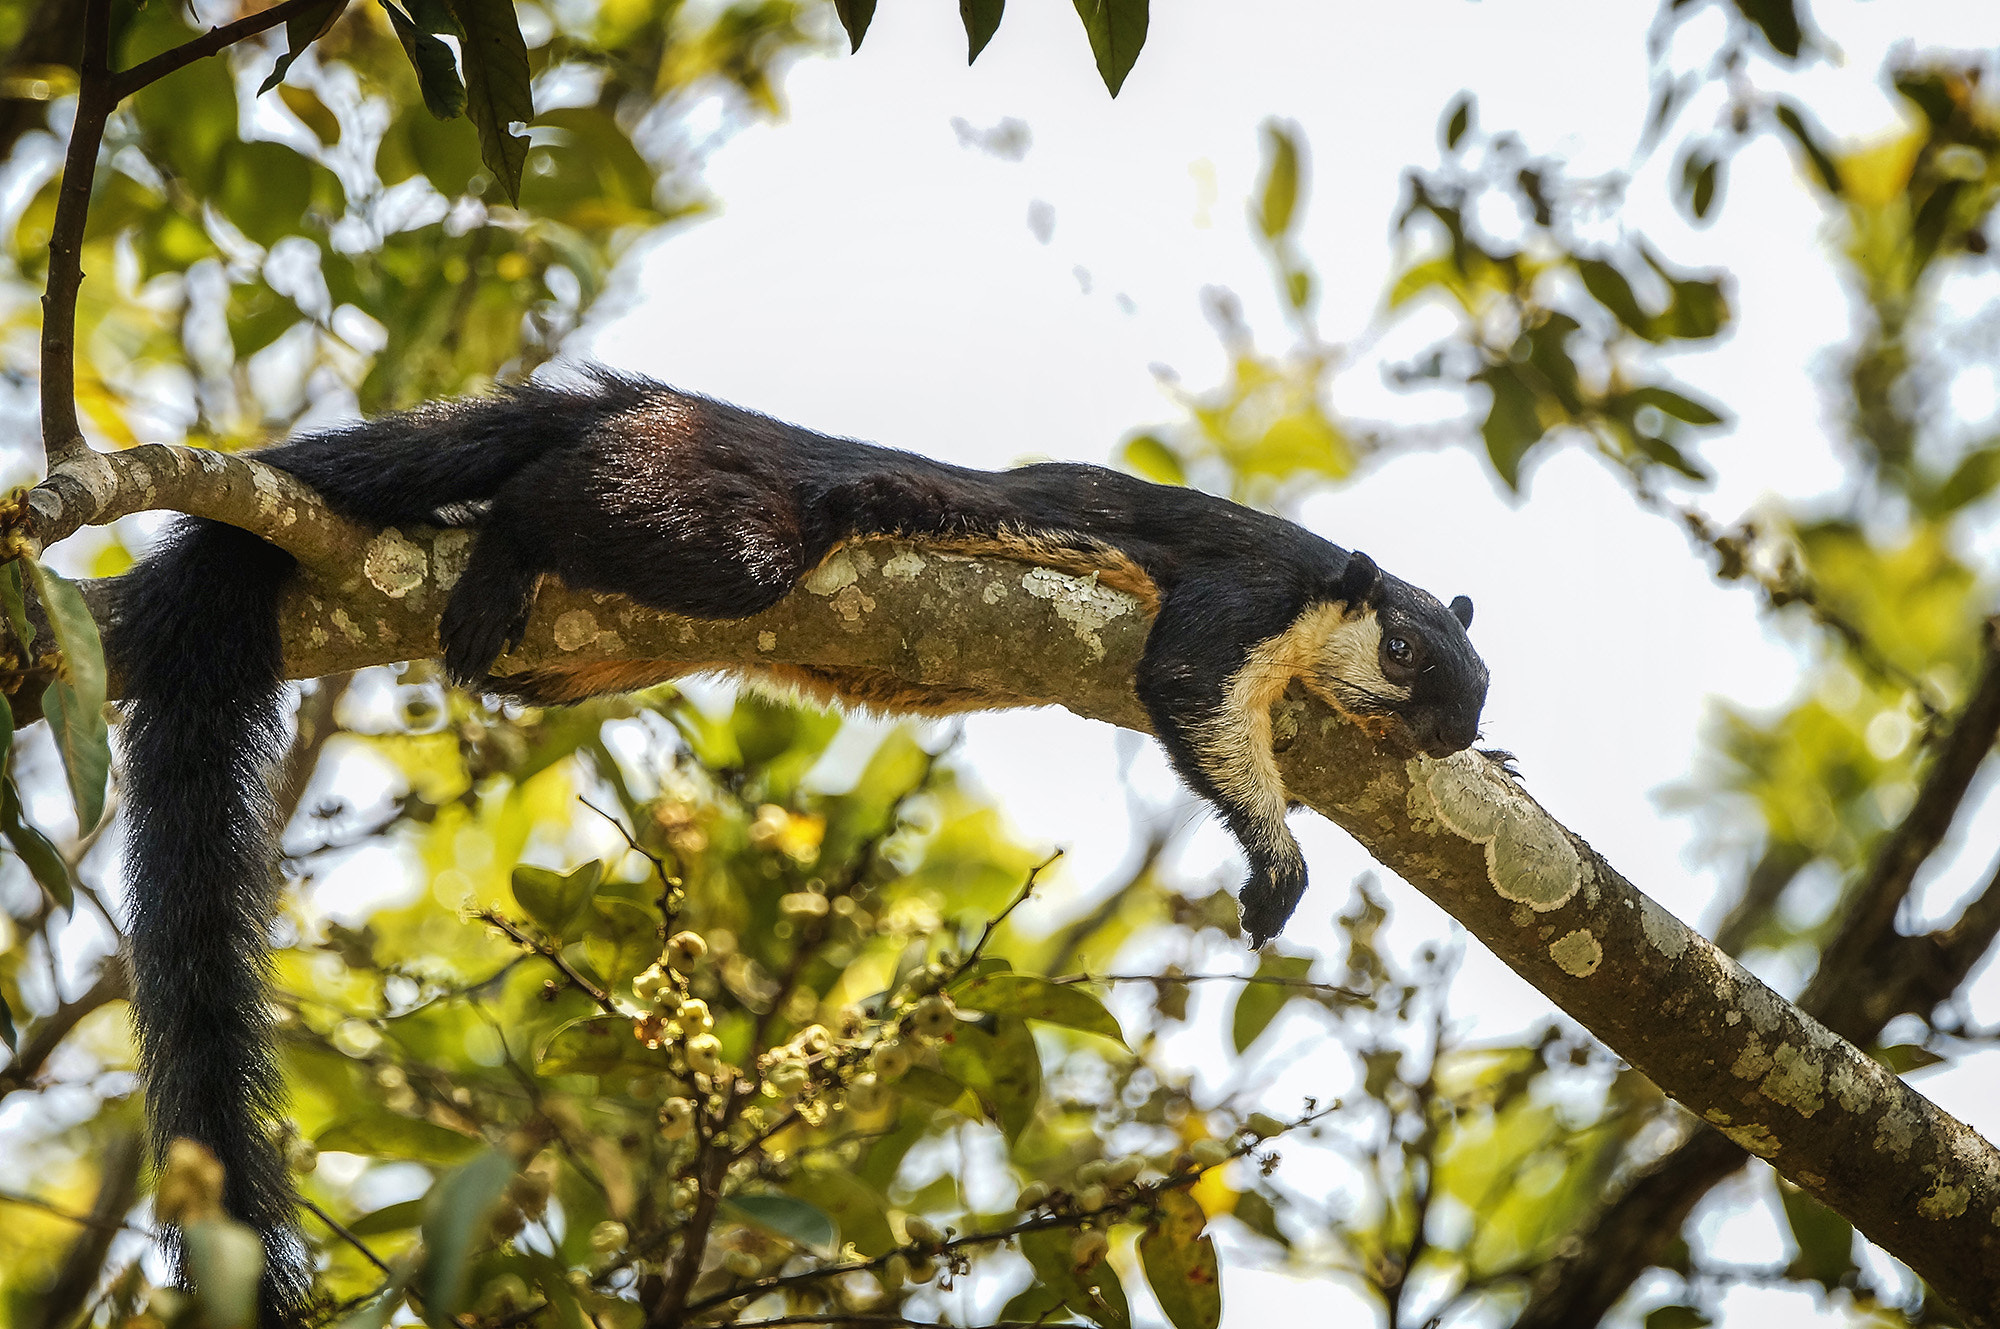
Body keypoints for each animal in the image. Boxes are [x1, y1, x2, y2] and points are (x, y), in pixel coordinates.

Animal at [109, 366, 1488, 1320]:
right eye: (1402, 651)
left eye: (1479, 684)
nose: (1448, 729)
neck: (1317, 600)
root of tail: (643, 398)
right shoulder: (1236, 599)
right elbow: (1192, 687)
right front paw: (1276, 869)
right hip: (723, 531)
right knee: (561, 497)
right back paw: (505, 549)